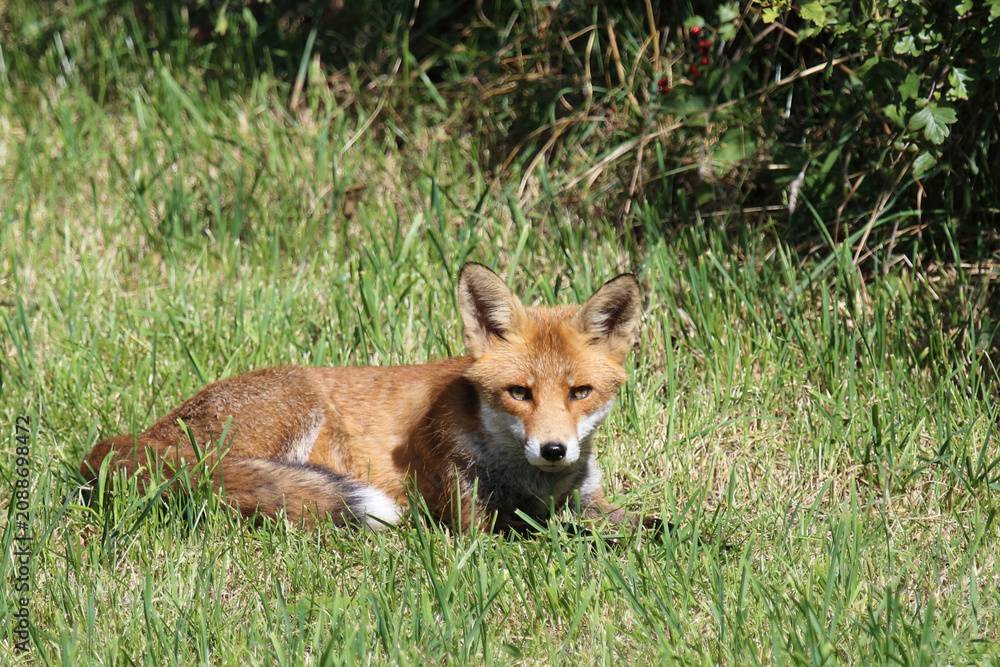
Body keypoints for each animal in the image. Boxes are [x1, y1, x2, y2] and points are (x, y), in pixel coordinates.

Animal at [80, 262, 655, 534]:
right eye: (519, 393)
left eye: (580, 392)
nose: (554, 450)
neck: (532, 482)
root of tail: (134, 438)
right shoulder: (474, 522)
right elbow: (551, 537)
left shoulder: (586, 503)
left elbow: (657, 526)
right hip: (298, 405)